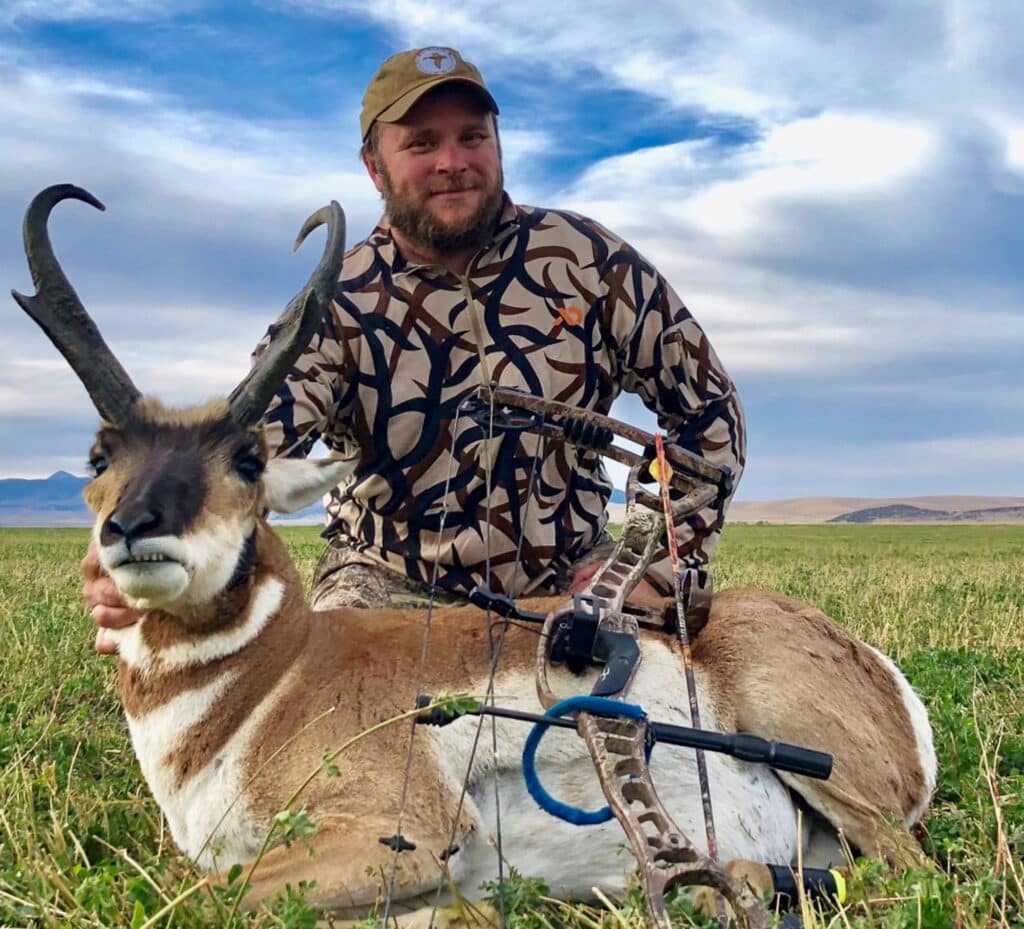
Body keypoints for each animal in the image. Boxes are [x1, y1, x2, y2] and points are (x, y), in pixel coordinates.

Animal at [13, 185, 936, 924]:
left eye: (246, 457)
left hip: (829, 770)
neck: (270, 681)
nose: (134, 528)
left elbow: (204, 896)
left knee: (907, 872)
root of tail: (878, 670)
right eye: (98, 456)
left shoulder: (403, 835)